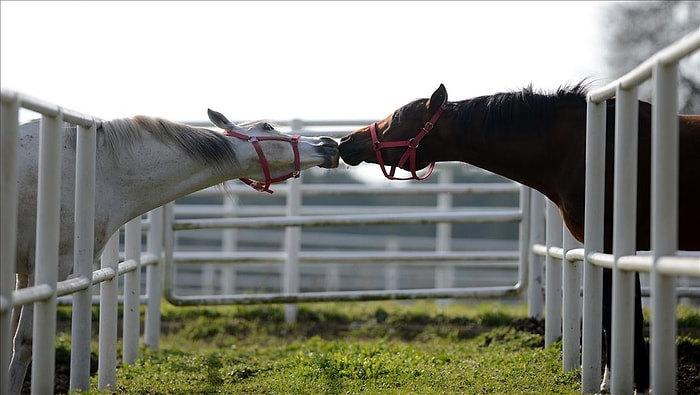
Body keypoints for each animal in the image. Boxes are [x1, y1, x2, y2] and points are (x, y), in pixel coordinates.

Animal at [8, 109, 340, 395]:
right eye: (268, 127)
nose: (329, 144)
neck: (94, 170)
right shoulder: (46, 269)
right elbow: (25, 342)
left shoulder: (23, 274)